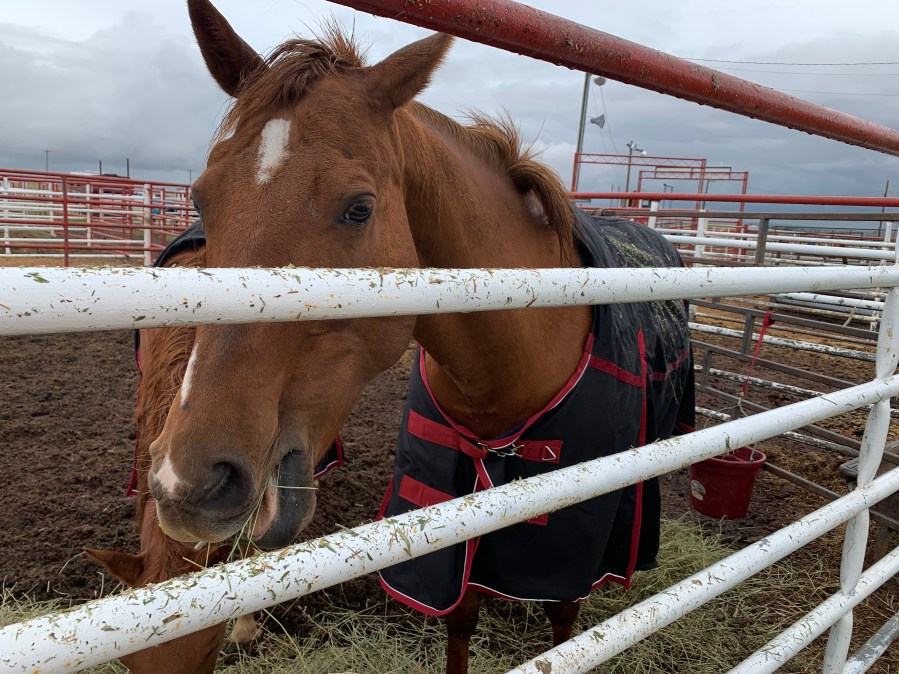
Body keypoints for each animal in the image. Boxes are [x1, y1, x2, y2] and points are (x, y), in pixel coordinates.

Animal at [101, 1, 695, 671]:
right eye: (201, 200)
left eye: (359, 208)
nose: (189, 483)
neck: (522, 354)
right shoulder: (452, 516)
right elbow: (460, 614)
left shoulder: (578, 526)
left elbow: (565, 622)